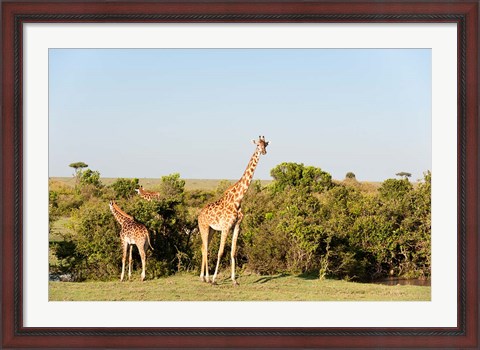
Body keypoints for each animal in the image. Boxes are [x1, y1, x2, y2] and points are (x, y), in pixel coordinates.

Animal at [197, 135, 268, 286]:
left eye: (265, 144)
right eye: (257, 145)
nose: (264, 152)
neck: (238, 200)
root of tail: (199, 215)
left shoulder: (237, 226)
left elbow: (233, 252)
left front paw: (234, 280)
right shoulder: (225, 227)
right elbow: (220, 252)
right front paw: (214, 279)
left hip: (211, 230)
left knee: (203, 248)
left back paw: (203, 277)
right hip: (203, 227)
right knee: (205, 248)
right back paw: (207, 278)